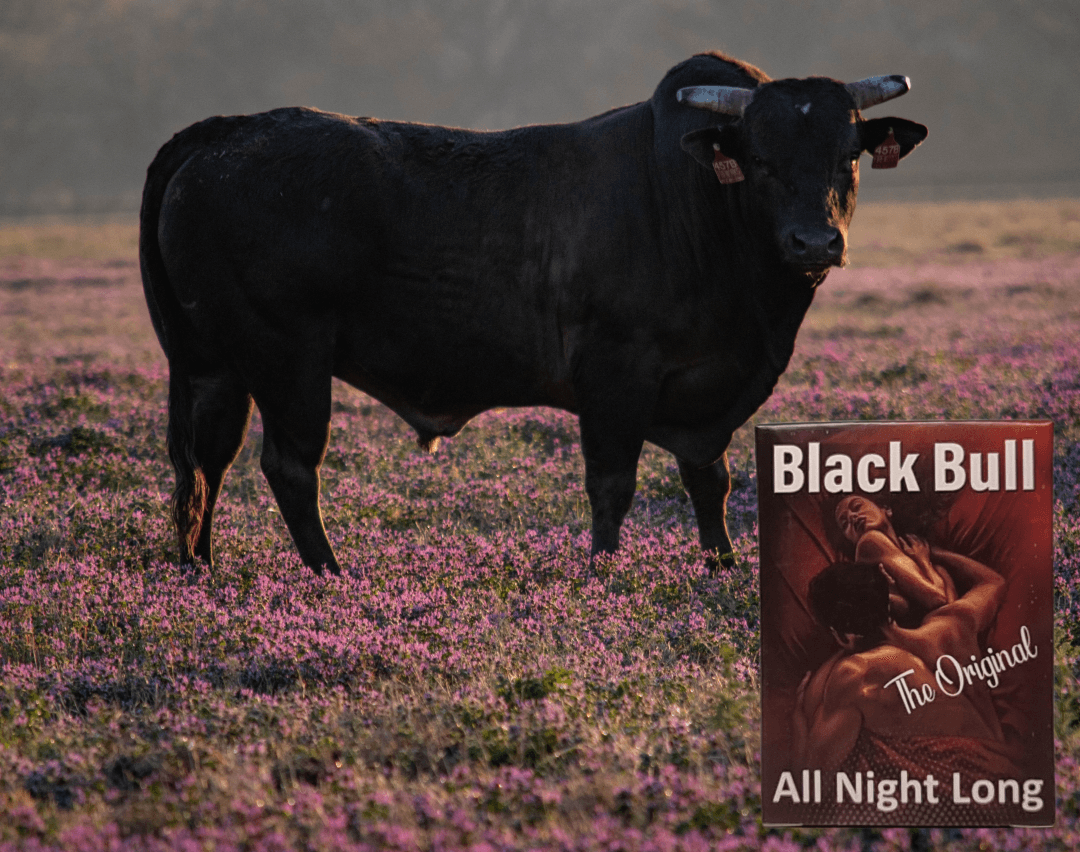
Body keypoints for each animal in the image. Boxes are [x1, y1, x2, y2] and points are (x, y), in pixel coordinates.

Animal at [140, 51, 927, 576]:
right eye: (759, 158)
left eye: (848, 154)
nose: (814, 242)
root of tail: (223, 133)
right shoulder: (616, 375)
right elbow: (612, 485)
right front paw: (603, 575)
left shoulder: (704, 392)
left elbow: (711, 481)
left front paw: (723, 565)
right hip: (287, 361)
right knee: (289, 466)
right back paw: (331, 575)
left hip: (212, 365)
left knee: (203, 463)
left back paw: (200, 571)